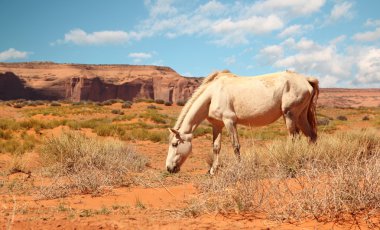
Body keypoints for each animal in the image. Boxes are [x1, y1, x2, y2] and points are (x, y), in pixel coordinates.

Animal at [166, 70, 318, 174]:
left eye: (174, 144)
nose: (168, 168)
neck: (213, 94)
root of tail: (306, 80)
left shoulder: (230, 122)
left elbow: (236, 146)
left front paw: (239, 167)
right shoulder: (217, 125)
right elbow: (216, 147)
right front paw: (213, 171)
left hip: (290, 115)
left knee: (294, 138)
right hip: (300, 117)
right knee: (311, 136)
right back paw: (311, 160)